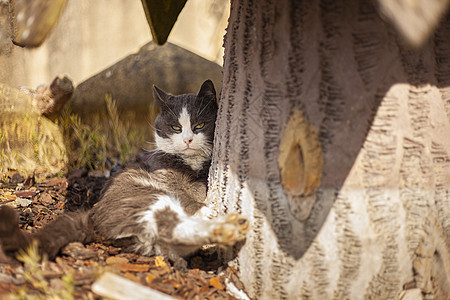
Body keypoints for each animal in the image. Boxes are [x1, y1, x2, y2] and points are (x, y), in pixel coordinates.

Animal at [0, 79, 250, 268]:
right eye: (176, 128)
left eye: (199, 125)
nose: (188, 140)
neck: (192, 163)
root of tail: (91, 216)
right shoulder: (164, 177)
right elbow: (184, 193)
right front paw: (205, 203)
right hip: (145, 196)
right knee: (170, 224)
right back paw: (222, 225)